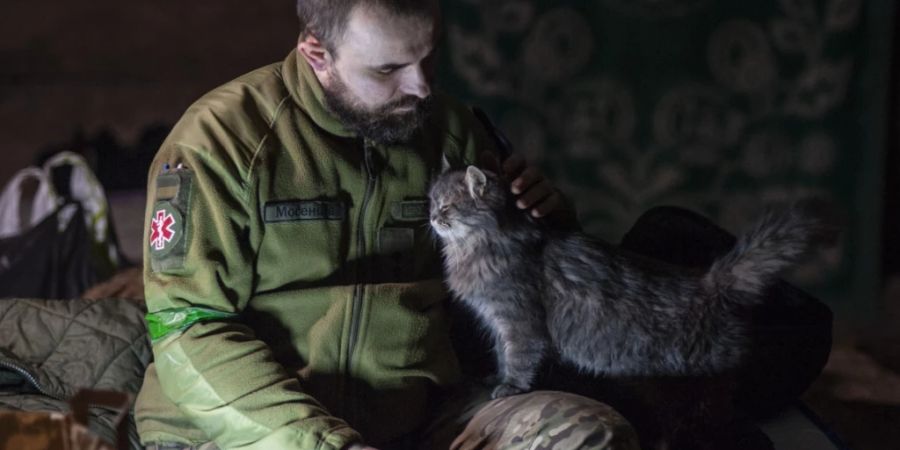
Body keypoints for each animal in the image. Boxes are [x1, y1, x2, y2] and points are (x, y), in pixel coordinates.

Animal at [428, 165, 828, 398]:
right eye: (432, 203)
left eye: (446, 207)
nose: (431, 217)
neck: (480, 244)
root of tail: (708, 281)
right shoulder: (497, 322)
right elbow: (500, 354)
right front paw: (494, 379)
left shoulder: (519, 320)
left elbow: (519, 358)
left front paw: (510, 387)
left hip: (712, 352)